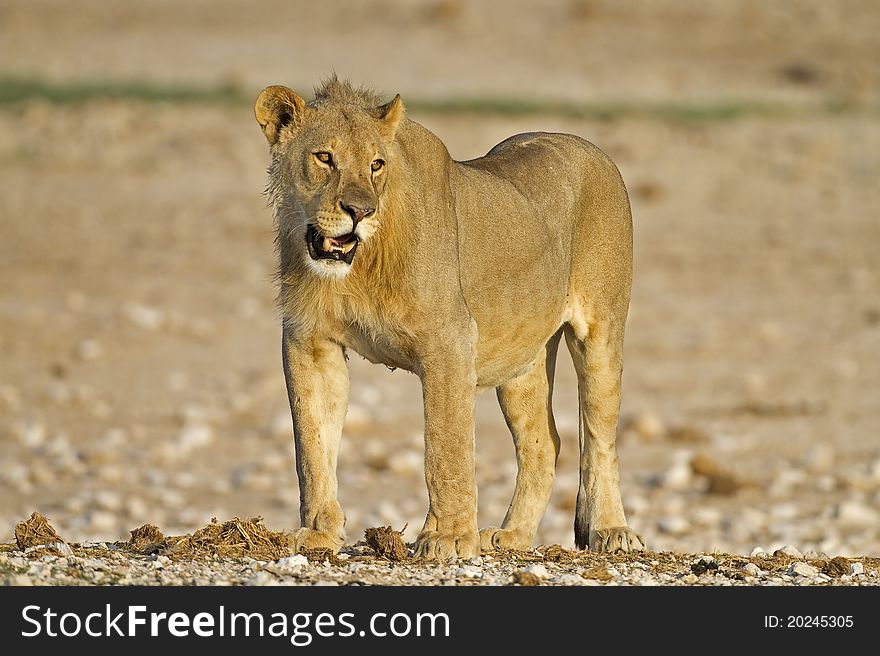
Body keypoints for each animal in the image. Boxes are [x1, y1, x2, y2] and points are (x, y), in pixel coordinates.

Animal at [254, 75, 648, 560]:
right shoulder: (310, 341)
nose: (360, 212)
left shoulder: (450, 341)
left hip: (600, 333)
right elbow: (312, 443)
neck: (357, 269)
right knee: (543, 444)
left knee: (599, 440)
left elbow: (445, 446)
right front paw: (318, 533)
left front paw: (449, 538)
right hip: (521, 362)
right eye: (324, 157)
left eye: (376, 165)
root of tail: (588, 145)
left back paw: (612, 530)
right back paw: (512, 536)